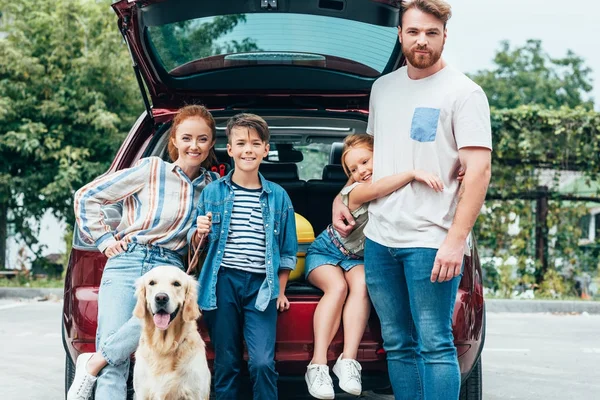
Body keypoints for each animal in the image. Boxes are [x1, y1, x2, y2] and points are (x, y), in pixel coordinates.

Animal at [133, 266, 211, 400]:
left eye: (176, 284)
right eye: (151, 283)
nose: (161, 298)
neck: (164, 348)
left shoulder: (194, 393)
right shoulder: (142, 392)